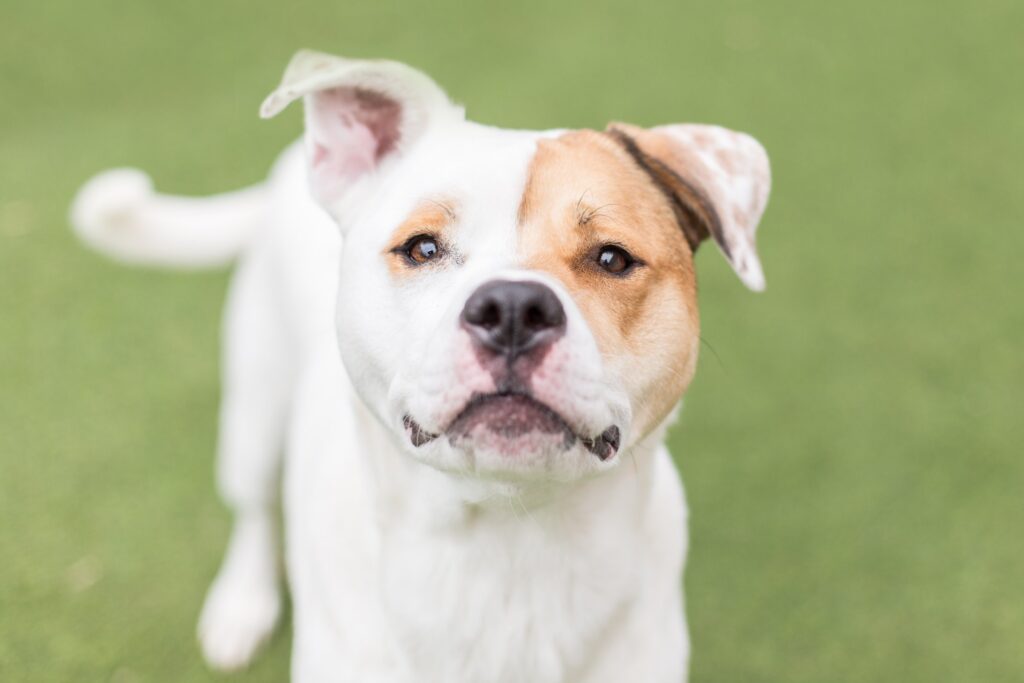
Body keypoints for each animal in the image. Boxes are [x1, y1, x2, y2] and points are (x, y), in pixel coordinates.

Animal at [70, 49, 770, 683]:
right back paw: (241, 605)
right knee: (254, 508)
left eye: (611, 259)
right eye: (424, 248)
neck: (509, 543)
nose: (512, 309)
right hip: (255, 408)